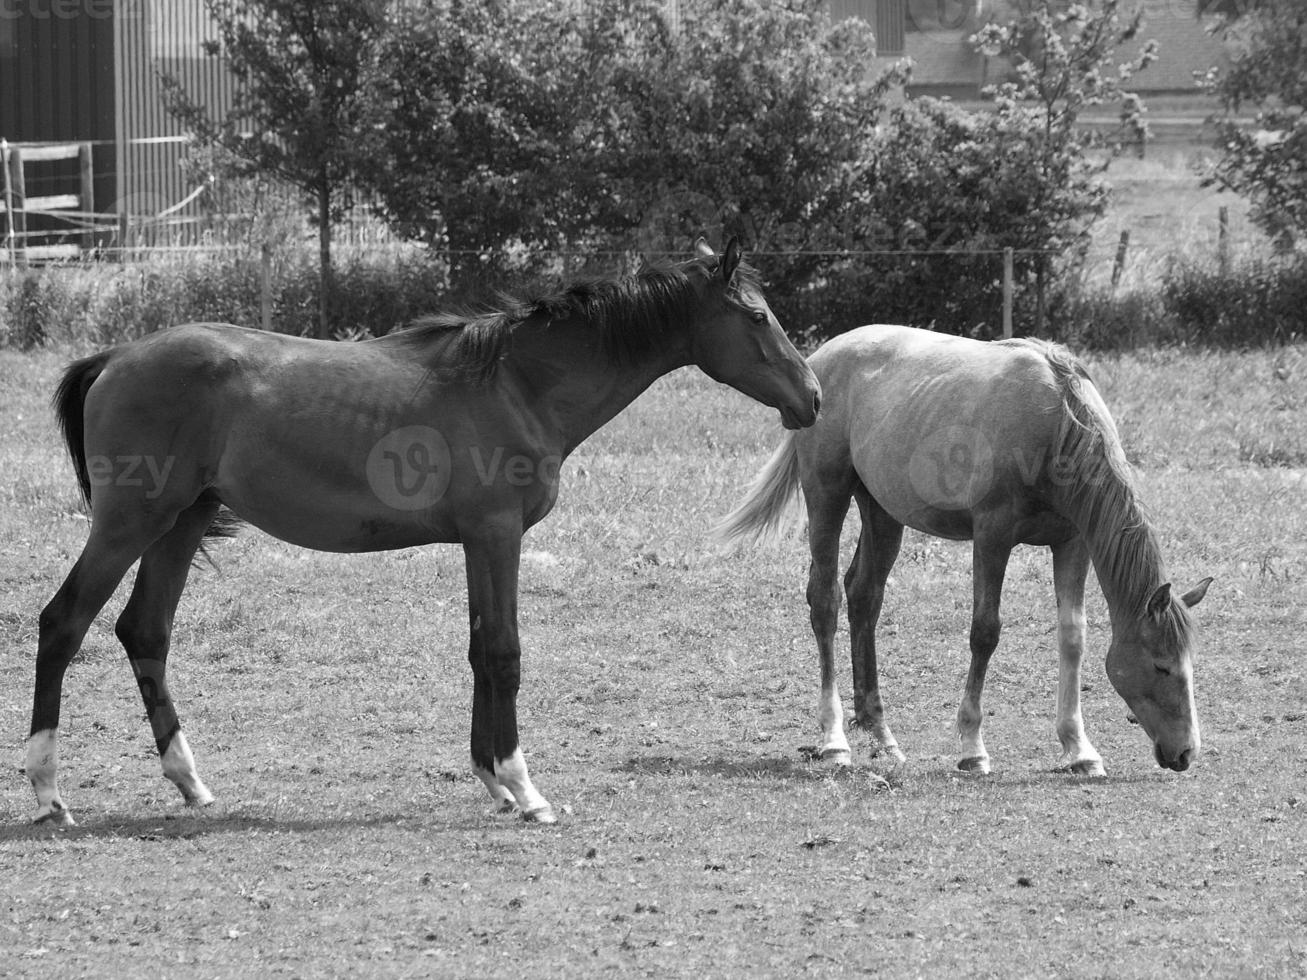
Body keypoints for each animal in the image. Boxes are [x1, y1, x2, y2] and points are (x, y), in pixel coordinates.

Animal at [25, 241, 815, 825]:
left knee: (145, 631)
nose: (810, 396)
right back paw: (49, 793)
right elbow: (504, 652)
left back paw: (189, 781)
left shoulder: (477, 543)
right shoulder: (497, 536)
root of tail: (114, 358)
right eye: (755, 316)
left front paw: (492, 781)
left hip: (180, 524)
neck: (516, 384)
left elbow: (477, 650)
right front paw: (525, 789)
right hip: (131, 522)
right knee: (63, 623)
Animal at [721, 326, 1207, 778]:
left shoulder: (1072, 544)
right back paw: (835, 739)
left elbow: (1073, 638)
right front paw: (973, 748)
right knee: (825, 600)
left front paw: (1079, 749)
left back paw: (881, 734)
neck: (1053, 425)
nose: (1186, 752)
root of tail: (820, 361)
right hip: (828, 495)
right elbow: (985, 632)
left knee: (864, 596)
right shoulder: (992, 536)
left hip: (882, 512)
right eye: (1162, 667)